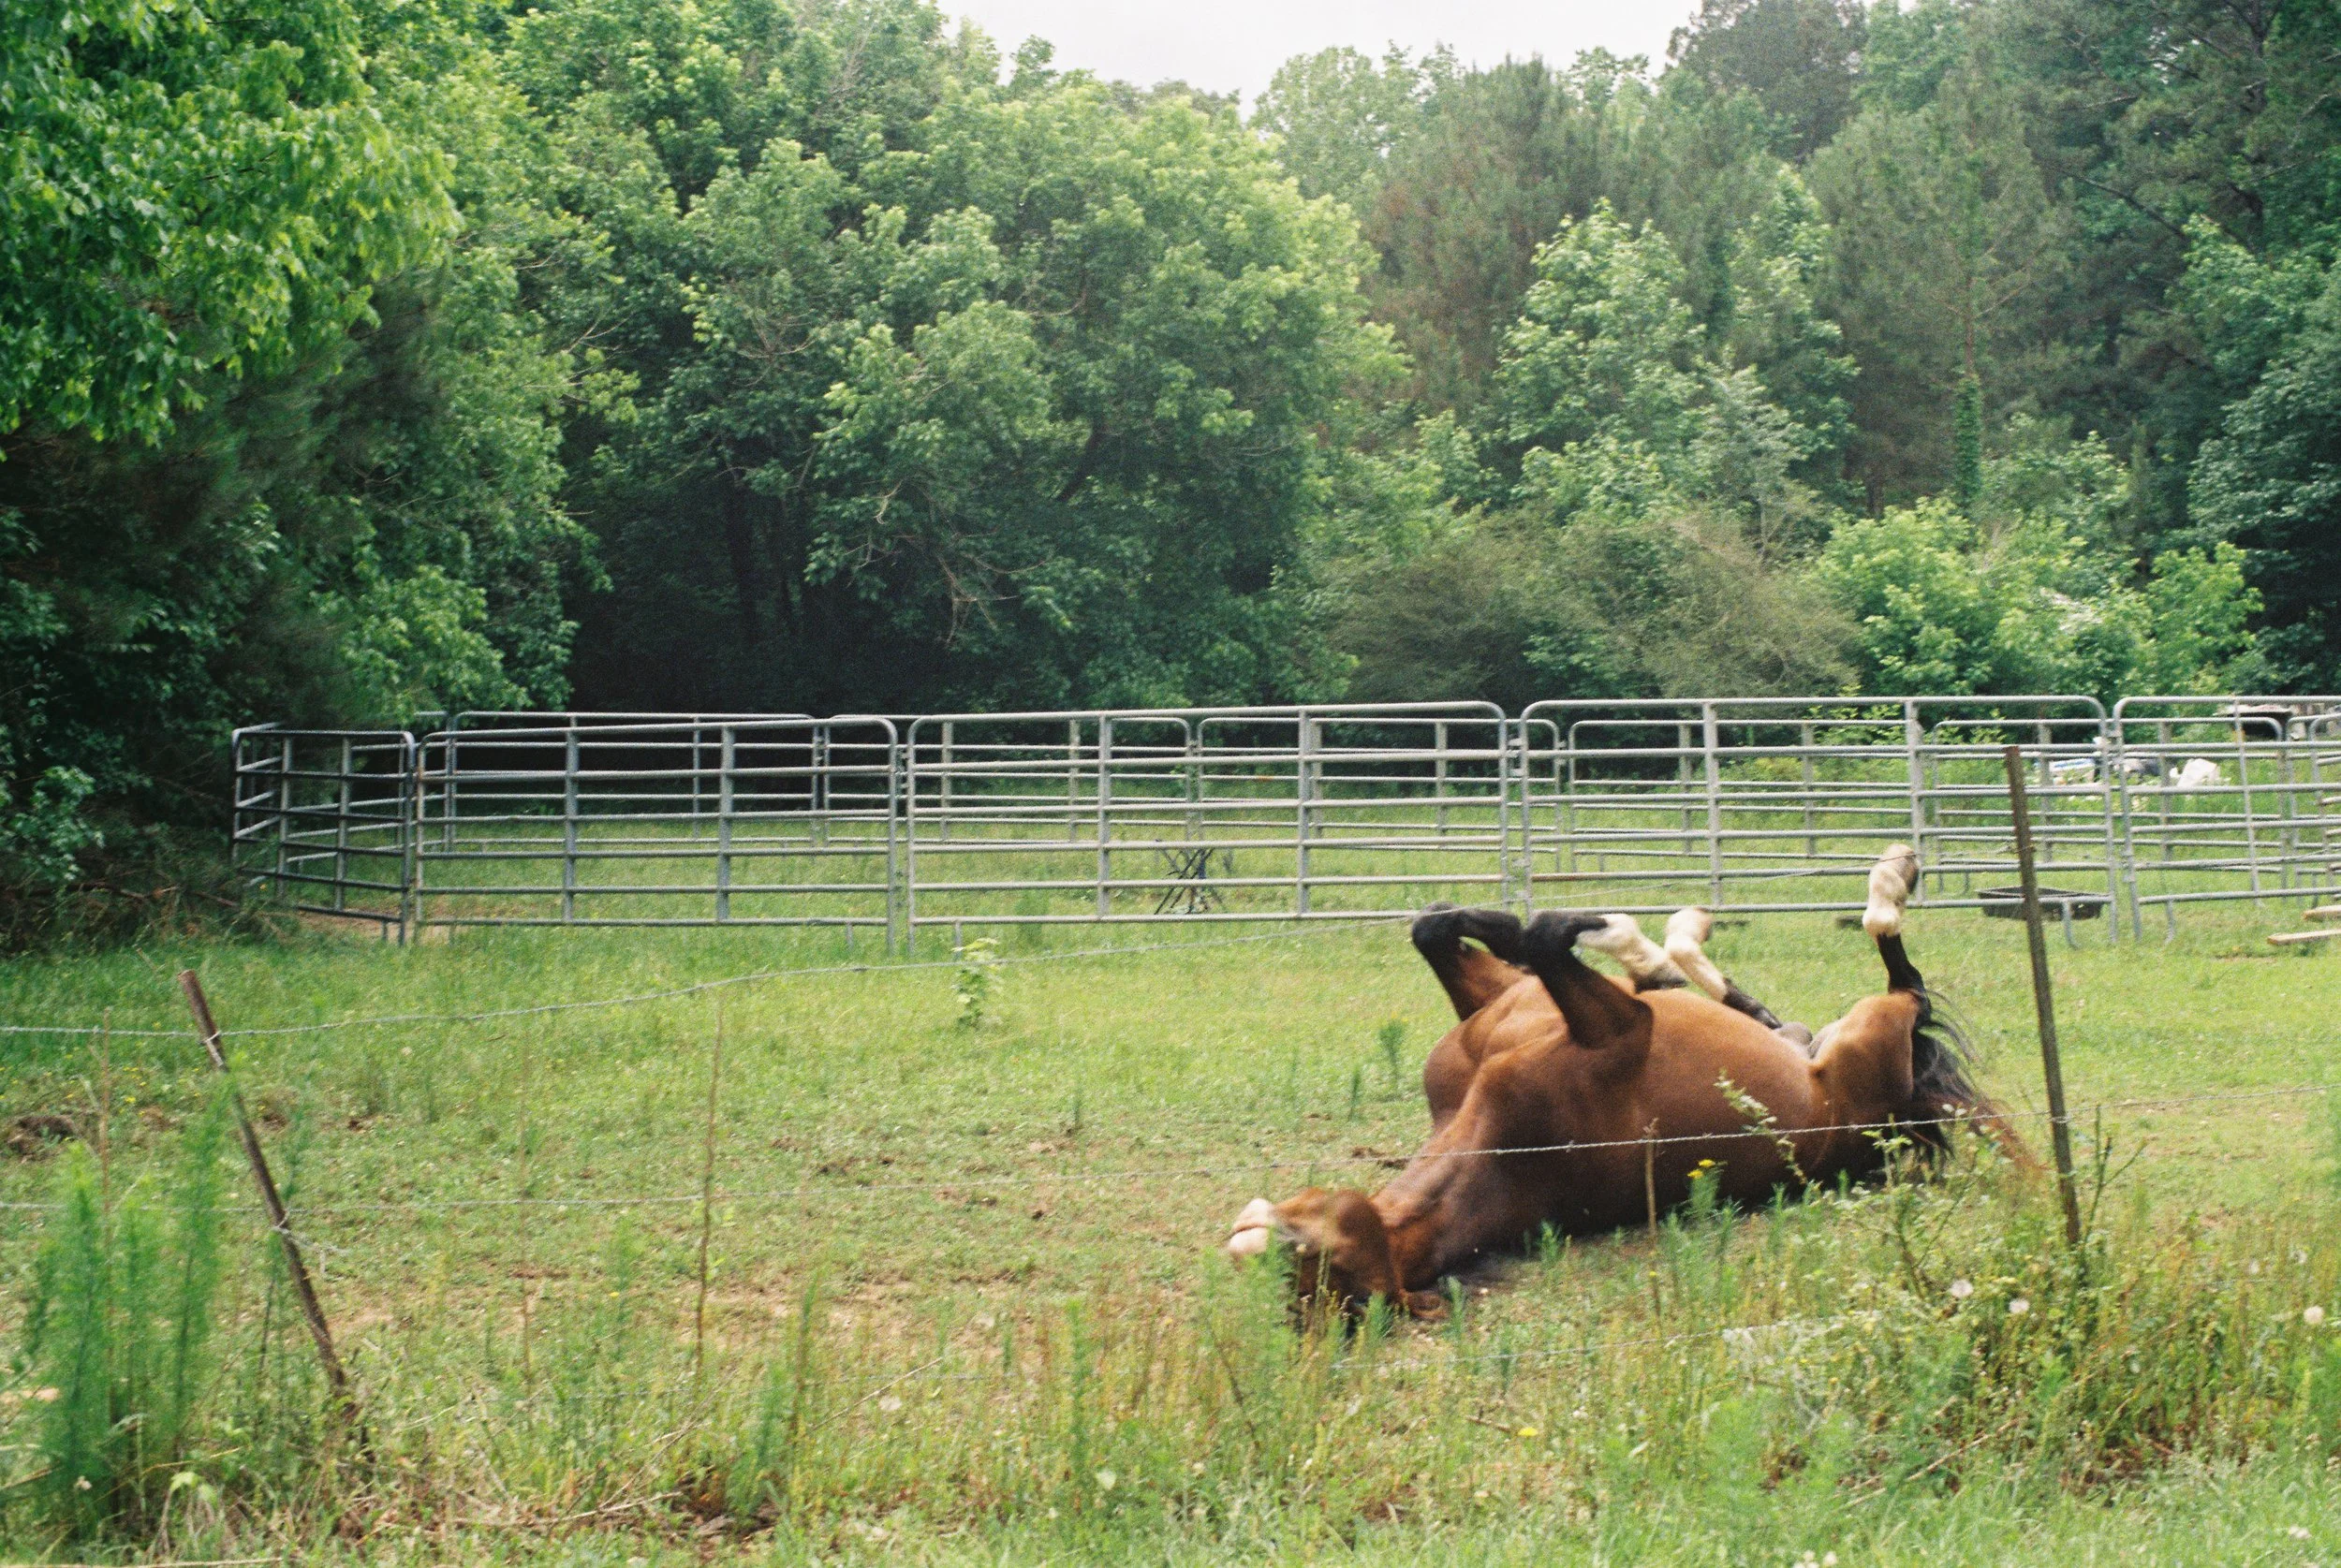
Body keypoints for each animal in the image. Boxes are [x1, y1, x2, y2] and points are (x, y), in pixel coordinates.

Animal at [1223, 846, 1999, 1318]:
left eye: (1310, 1258)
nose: (1254, 1241)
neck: (1500, 1147)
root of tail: (1898, 1115)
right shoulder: (1624, 1026)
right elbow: (1541, 935)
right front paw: (1624, 939)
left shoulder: (1520, 1005)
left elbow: (1453, 928)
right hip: (1873, 1031)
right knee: (1902, 980)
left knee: (1799, 999)